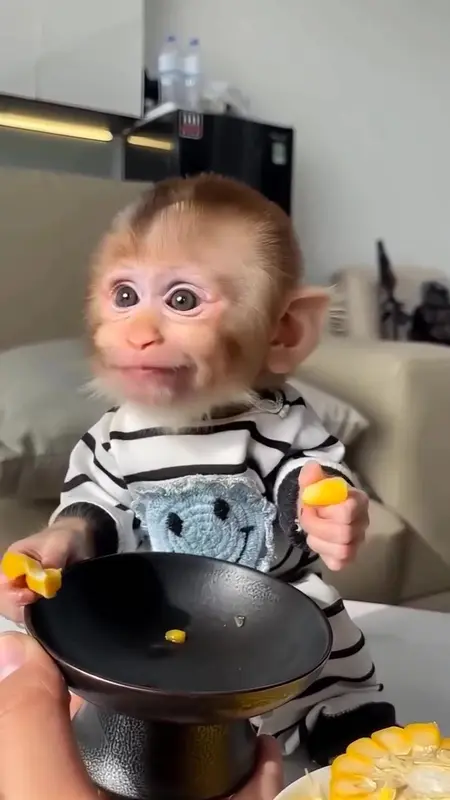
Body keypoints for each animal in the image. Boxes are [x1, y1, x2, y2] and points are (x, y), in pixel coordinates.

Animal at [0, 174, 395, 764]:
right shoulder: (106, 443)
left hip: (329, 634)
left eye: (181, 300)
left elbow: (307, 469)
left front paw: (333, 518)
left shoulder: (294, 423)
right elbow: (95, 506)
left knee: (339, 676)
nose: (138, 336)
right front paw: (36, 558)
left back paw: (353, 724)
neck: (188, 421)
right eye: (124, 296)